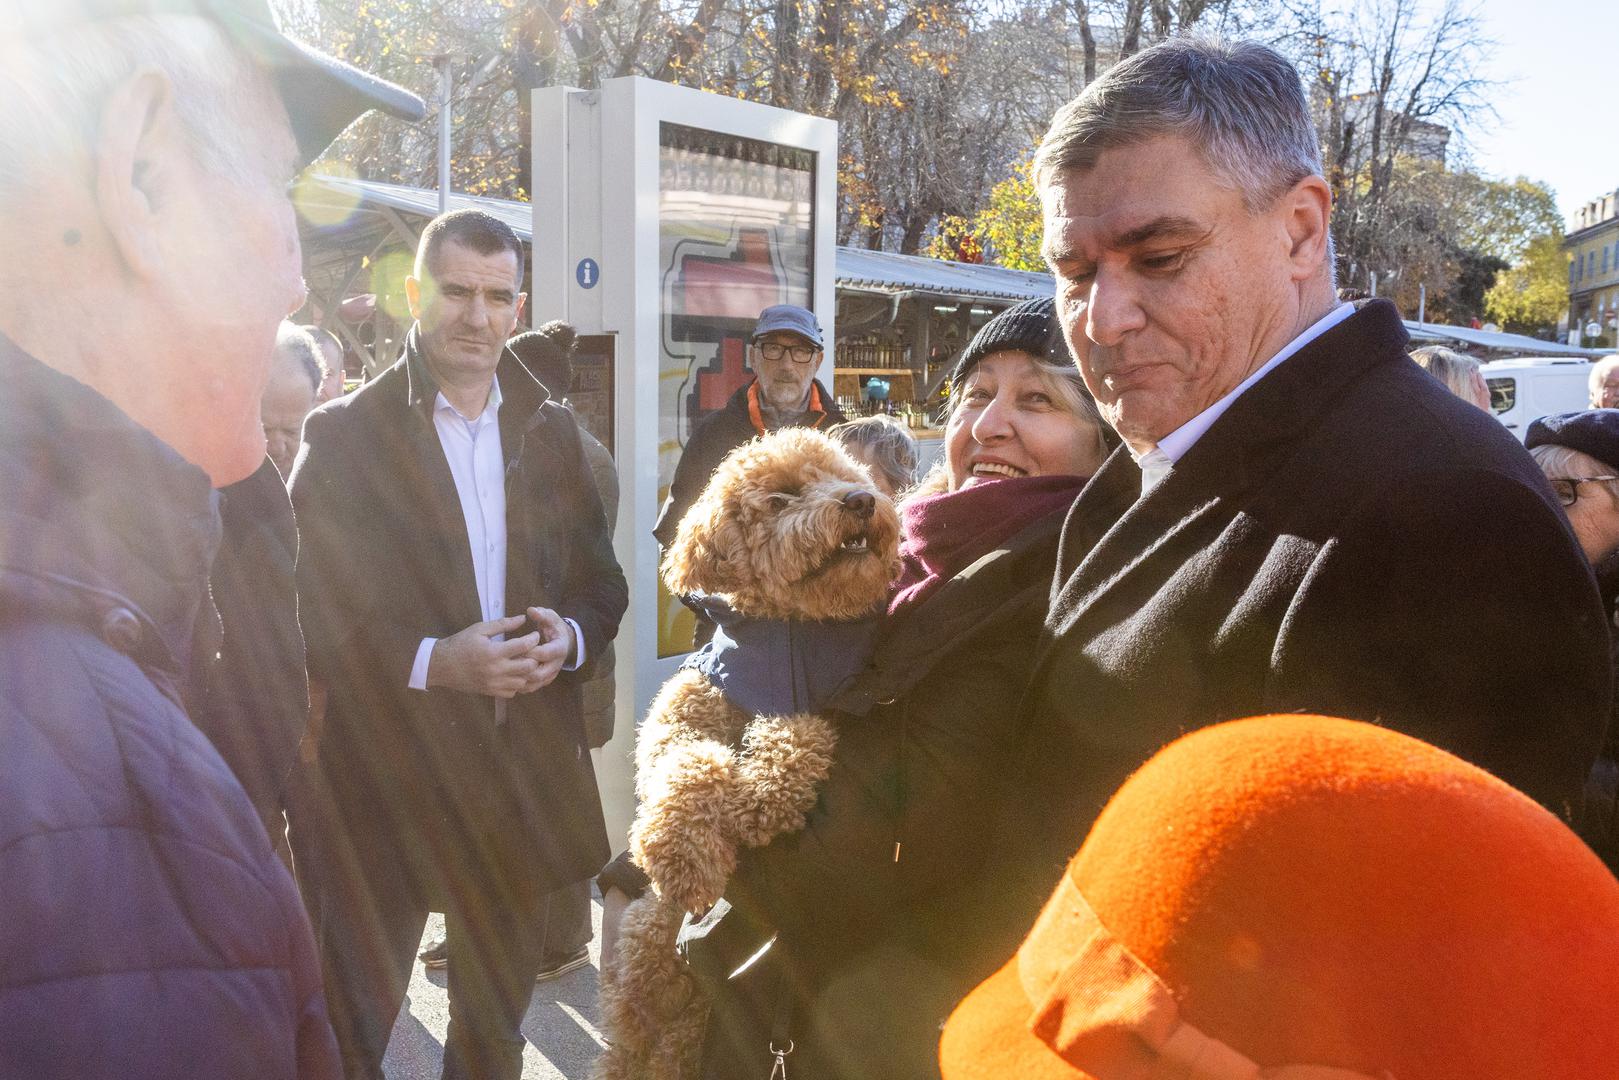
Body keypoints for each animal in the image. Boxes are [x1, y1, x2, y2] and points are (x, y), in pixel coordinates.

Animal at [592, 427, 900, 1080]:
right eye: (781, 497)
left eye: (844, 475)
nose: (861, 500)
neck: (789, 634)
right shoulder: (684, 711)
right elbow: (684, 764)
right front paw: (685, 856)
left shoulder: (818, 705)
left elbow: (792, 742)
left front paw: (754, 796)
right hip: (647, 947)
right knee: (631, 1040)